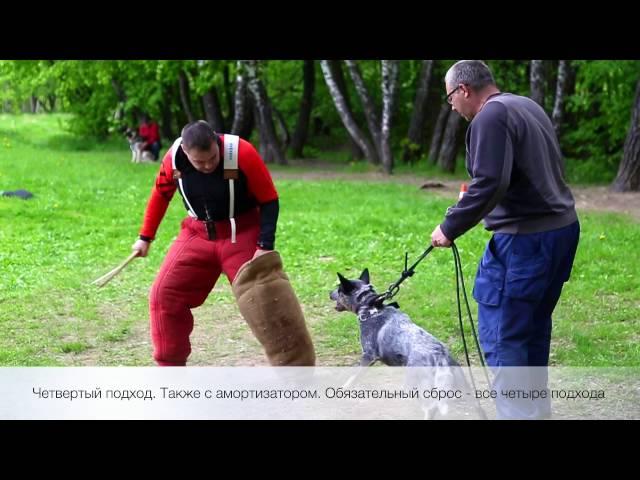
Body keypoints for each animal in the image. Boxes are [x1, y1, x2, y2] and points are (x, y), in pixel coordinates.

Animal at [330, 268, 484, 418]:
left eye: (339, 289)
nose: (329, 293)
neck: (371, 308)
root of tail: (440, 357)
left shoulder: (368, 356)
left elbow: (352, 377)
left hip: (416, 385)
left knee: (431, 407)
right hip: (465, 388)